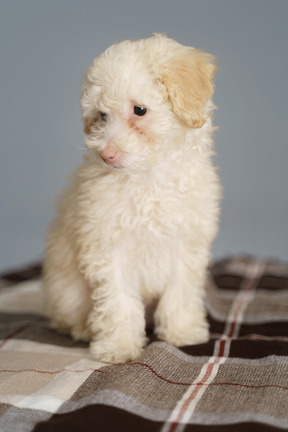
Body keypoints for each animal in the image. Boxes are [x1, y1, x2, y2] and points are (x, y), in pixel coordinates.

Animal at [42, 34, 220, 364]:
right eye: (101, 115)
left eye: (139, 110)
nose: (106, 155)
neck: (148, 179)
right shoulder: (108, 247)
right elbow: (118, 301)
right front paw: (118, 345)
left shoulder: (186, 242)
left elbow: (180, 291)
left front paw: (182, 331)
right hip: (65, 290)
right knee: (67, 315)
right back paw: (83, 329)